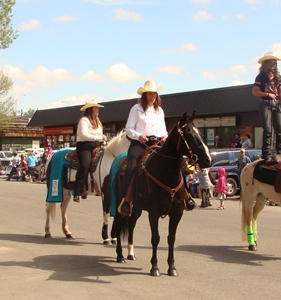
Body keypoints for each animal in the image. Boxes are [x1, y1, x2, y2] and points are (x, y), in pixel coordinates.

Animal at [110, 112, 211, 276]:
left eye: (200, 133)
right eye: (189, 133)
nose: (208, 160)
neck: (165, 174)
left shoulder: (177, 213)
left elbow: (171, 238)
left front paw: (172, 268)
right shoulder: (154, 213)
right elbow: (155, 238)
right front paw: (155, 267)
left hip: (137, 207)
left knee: (131, 224)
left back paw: (131, 253)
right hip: (121, 204)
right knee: (119, 224)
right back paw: (120, 255)